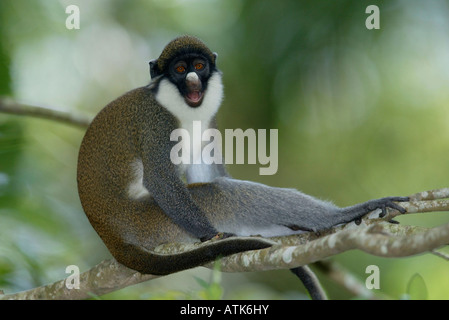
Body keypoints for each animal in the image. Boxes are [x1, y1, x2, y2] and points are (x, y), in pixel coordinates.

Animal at [76, 36, 406, 298]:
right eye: (180, 70)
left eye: (199, 65)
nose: (193, 80)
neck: (180, 106)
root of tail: (108, 231)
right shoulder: (156, 121)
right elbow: (161, 179)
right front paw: (214, 237)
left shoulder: (207, 120)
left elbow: (204, 170)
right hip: (150, 219)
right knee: (221, 193)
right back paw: (338, 217)